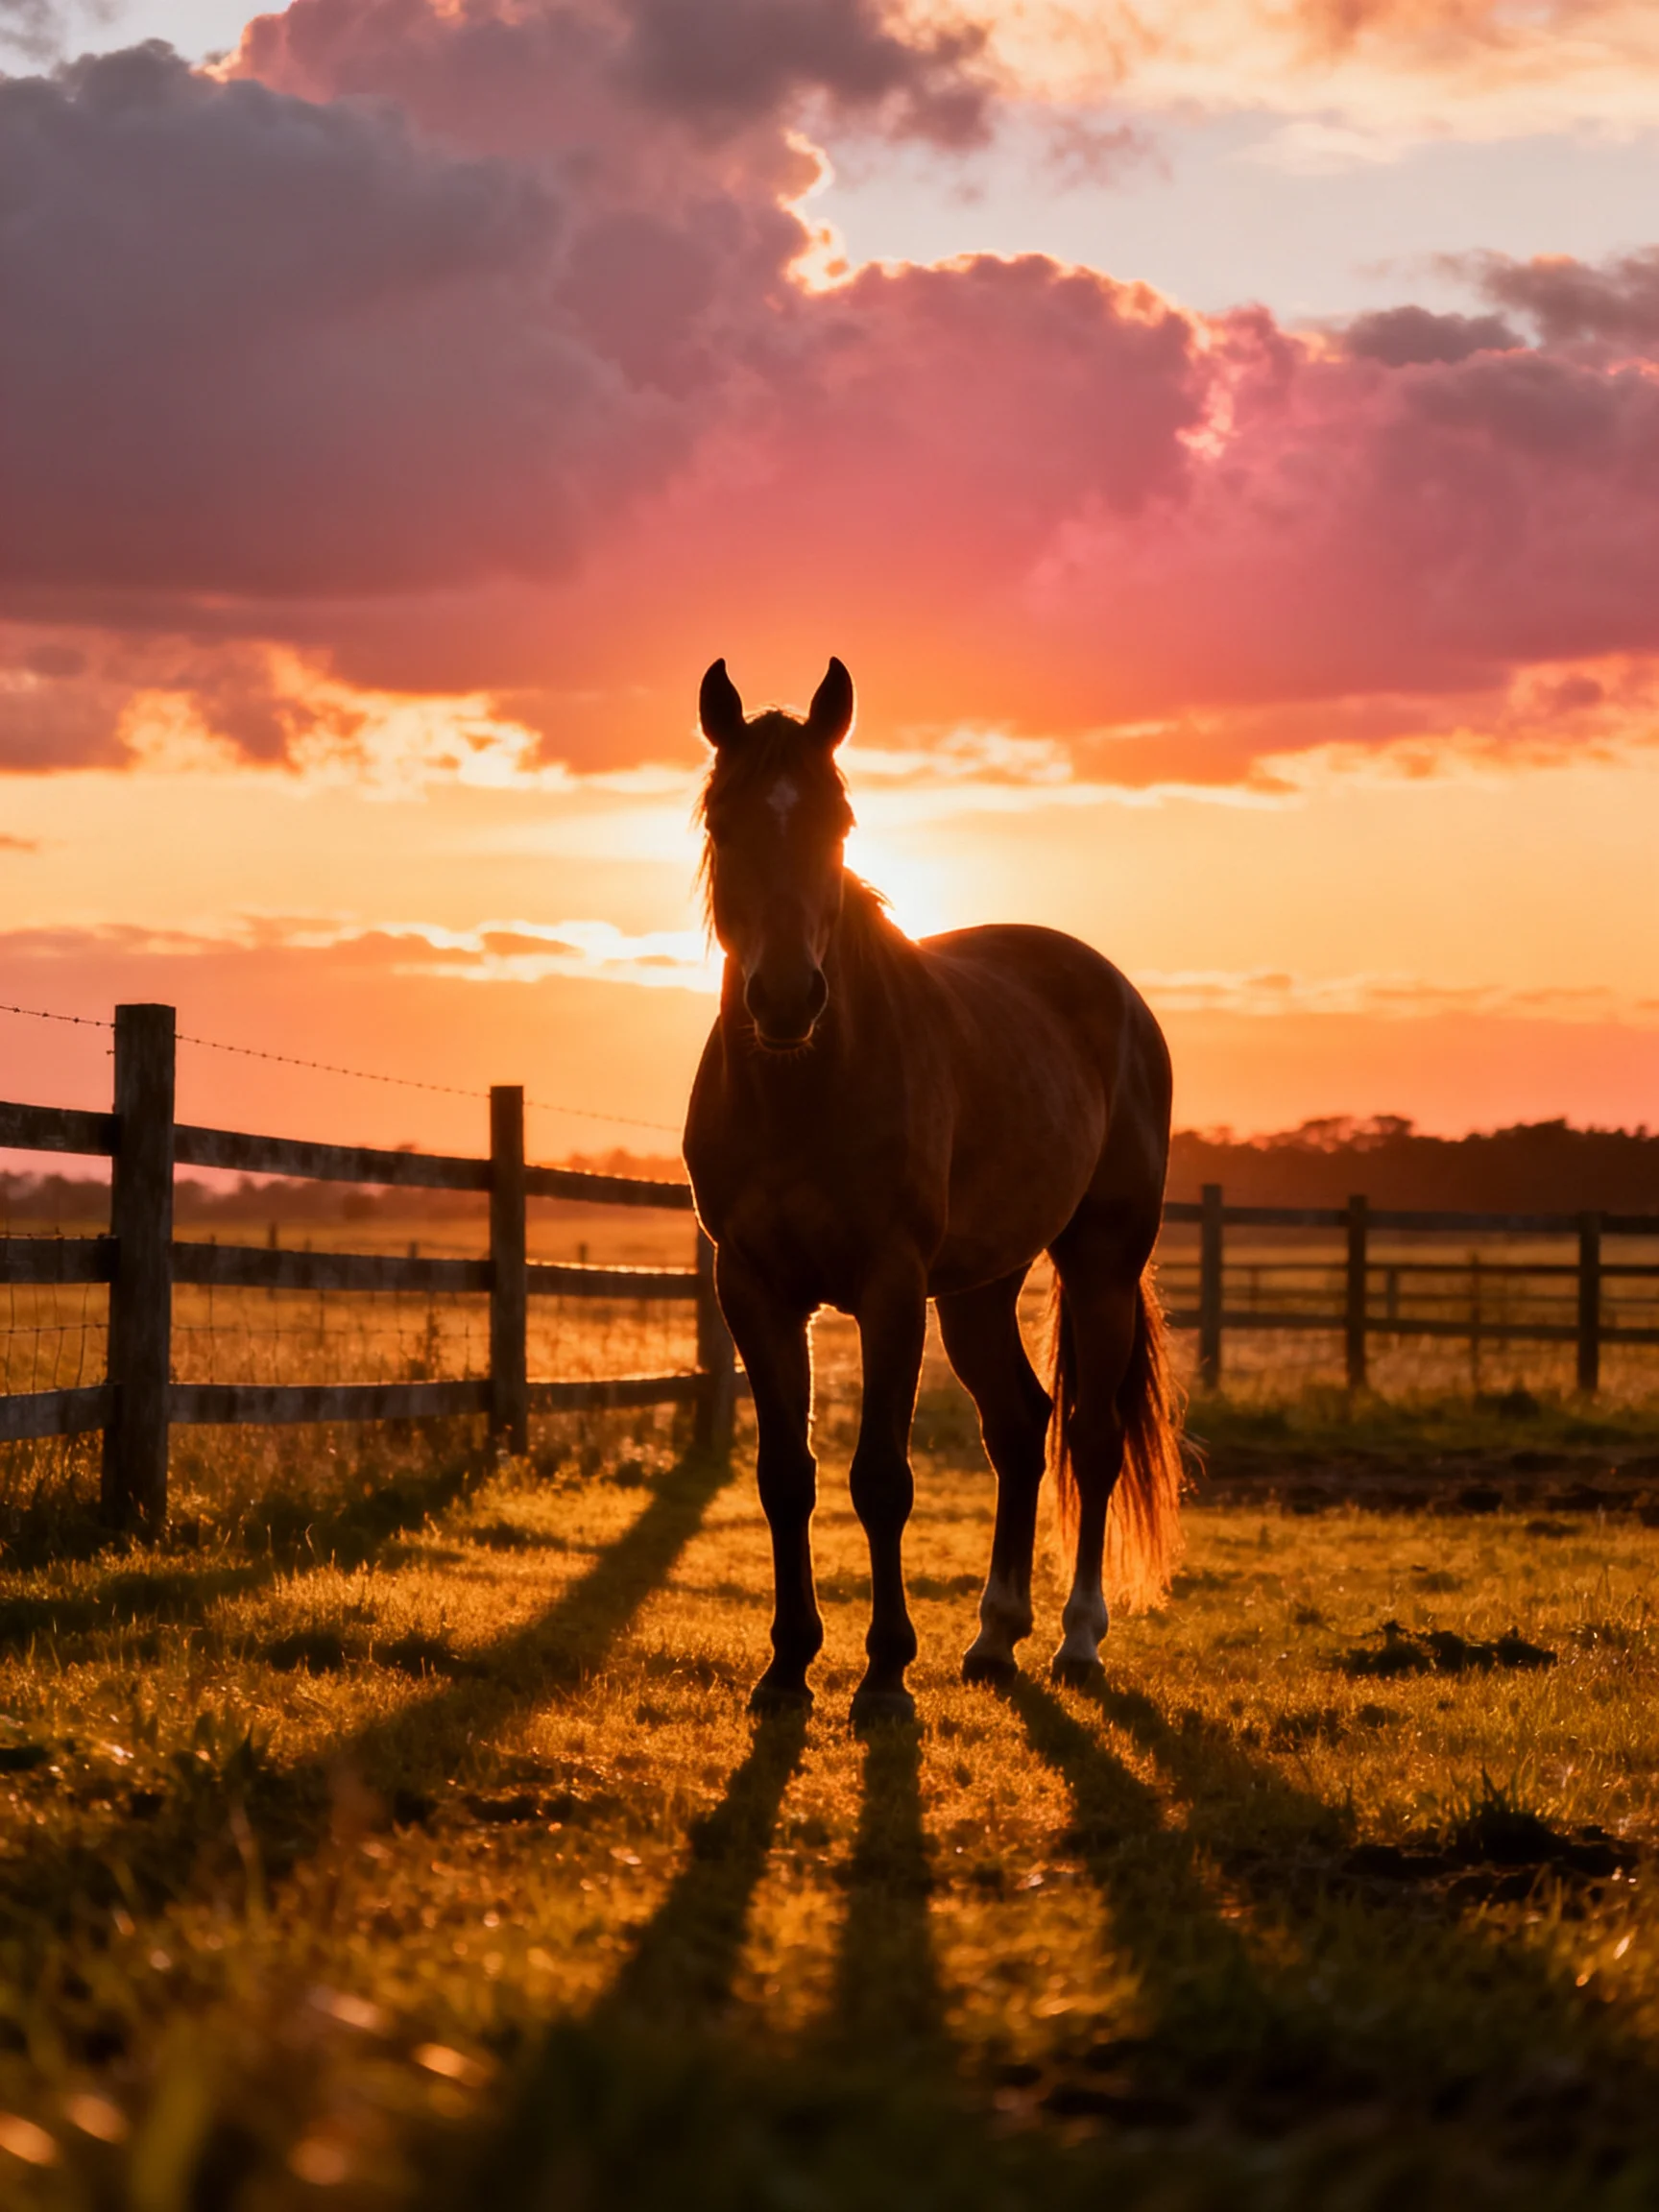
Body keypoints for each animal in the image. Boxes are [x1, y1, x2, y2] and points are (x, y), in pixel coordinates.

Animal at [683, 657, 1184, 1725]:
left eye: (838, 821)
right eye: (722, 822)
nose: (785, 999)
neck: (806, 1086)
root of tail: (1116, 993)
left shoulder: (890, 1285)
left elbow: (882, 1477)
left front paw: (884, 1674)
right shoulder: (754, 1288)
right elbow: (784, 1476)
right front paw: (787, 1667)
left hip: (1101, 1265)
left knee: (1090, 1436)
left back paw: (1078, 1639)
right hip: (980, 1289)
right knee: (1021, 1426)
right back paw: (995, 1637)